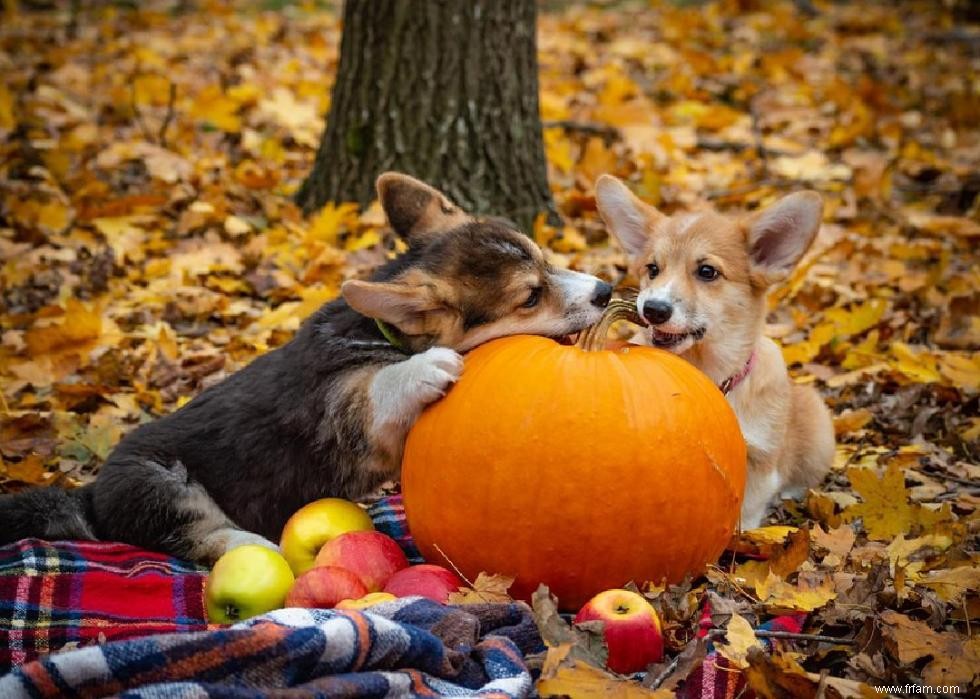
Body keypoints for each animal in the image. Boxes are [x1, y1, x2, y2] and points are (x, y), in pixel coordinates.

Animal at [1, 174, 612, 564]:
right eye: (530, 296)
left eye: (546, 258)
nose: (606, 291)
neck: (381, 330)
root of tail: (88, 495)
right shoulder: (351, 412)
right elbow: (382, 388)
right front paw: (427, 366)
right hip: (157, 482)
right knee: (193, 535)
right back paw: (254, 547)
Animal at [592, 176, 832, 532]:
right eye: (652, 269)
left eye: (707, 272)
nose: (653, 309)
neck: (704, 367)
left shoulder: (760, 460)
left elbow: (746, 515)